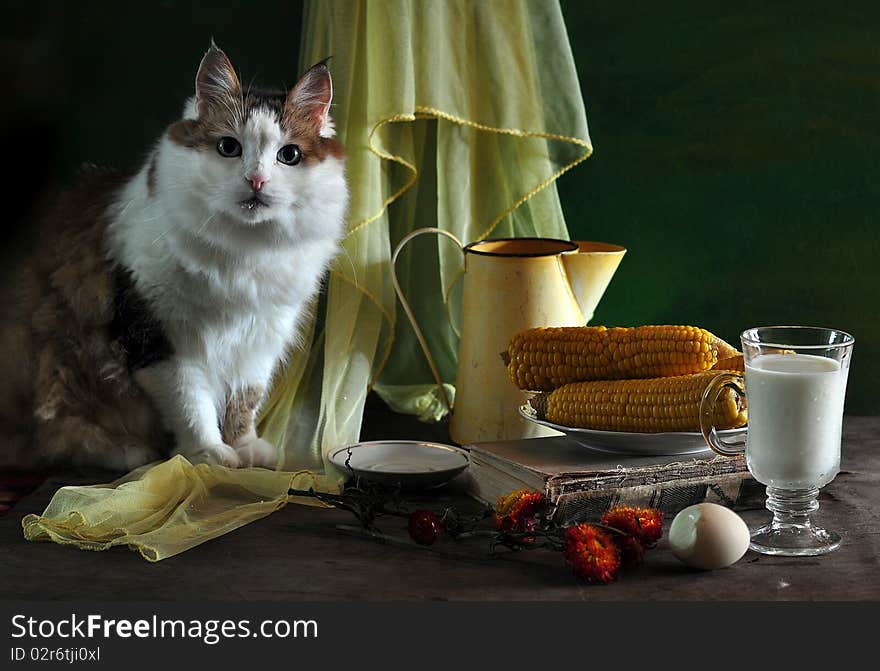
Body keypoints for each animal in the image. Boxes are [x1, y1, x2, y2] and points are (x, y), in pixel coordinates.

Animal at [0, 43, 348, 472]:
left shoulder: (260, 338)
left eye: (290, 155)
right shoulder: (161, 338)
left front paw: (246, 448)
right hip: (53, 360)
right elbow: (191, 405)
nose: (256, 181)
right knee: (60, 435)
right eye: (229, 148)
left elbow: (245, 400)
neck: (246, 251)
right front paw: (209, 455)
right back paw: (130, 452)